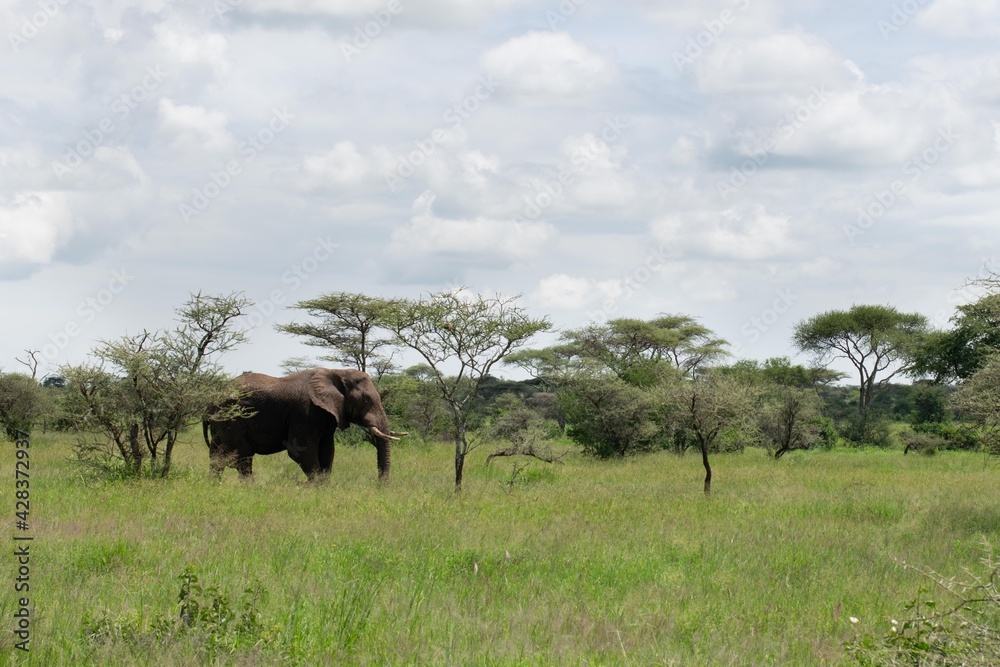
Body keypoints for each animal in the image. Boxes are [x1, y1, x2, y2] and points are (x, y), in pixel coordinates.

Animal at [201, 368, 404, 482]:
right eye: (367, 400)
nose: (380, 486)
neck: (337, 372)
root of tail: (210, 403)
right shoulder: (305, 413)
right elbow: (301, 452)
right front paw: (317, 489)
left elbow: (327, 451)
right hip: (233, 420)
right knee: (242, 458)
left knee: (217, 459)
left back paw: (213, 486)